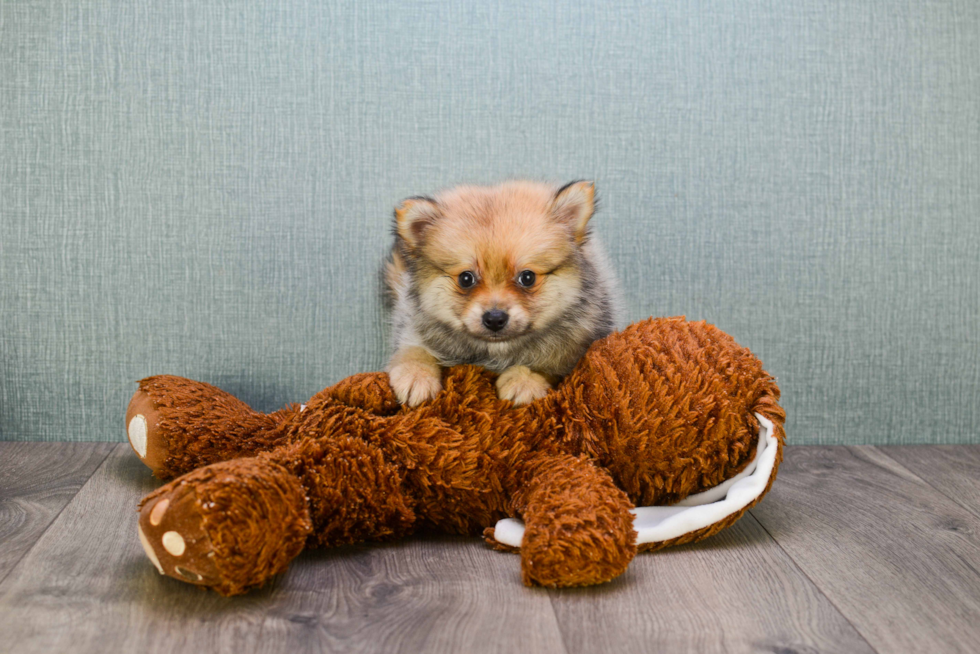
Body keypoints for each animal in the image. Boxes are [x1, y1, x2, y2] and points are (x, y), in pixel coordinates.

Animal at [384, 182, 620, 408]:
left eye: (527, 277)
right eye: (466, 279)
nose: (495, 318)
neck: (495, 352)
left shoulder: (573, 351)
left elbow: (547, 365)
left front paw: (524, 380)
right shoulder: (412, 329)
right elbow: (413, 351)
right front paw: (415, 377)